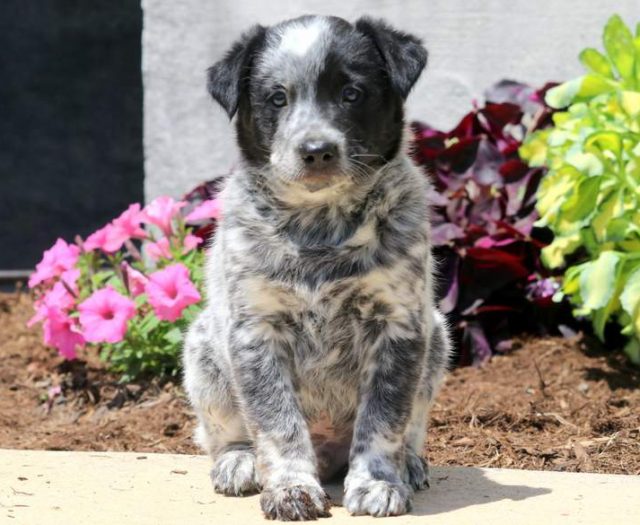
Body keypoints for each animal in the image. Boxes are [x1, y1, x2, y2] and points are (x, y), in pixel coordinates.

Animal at [182, 15, 452, 520]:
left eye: (351, 93)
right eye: (277, 98)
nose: (316, 149)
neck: (319, 227)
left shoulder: (399, 326)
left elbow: (383, 420)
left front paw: (377, 483)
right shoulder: (256, 332)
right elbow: (278, 423)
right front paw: (290, 488)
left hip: (438, 338)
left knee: (410, 425)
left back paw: (409, 464)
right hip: (204, 350)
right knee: (224, 434)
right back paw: (239, 462)